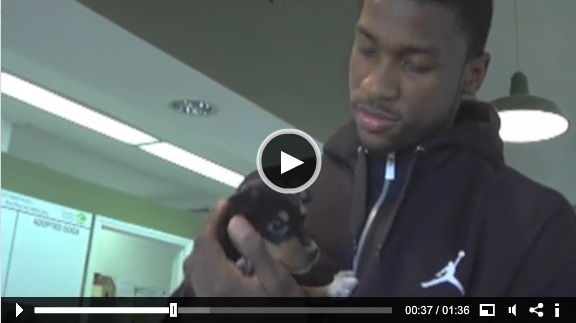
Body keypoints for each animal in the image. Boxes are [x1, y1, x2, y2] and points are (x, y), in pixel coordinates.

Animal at [222, 180, 360, 298]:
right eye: (277, 225)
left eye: (303, 219)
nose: (314, 252)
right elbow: (307, 291)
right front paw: (336, 286)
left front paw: (336, 286)